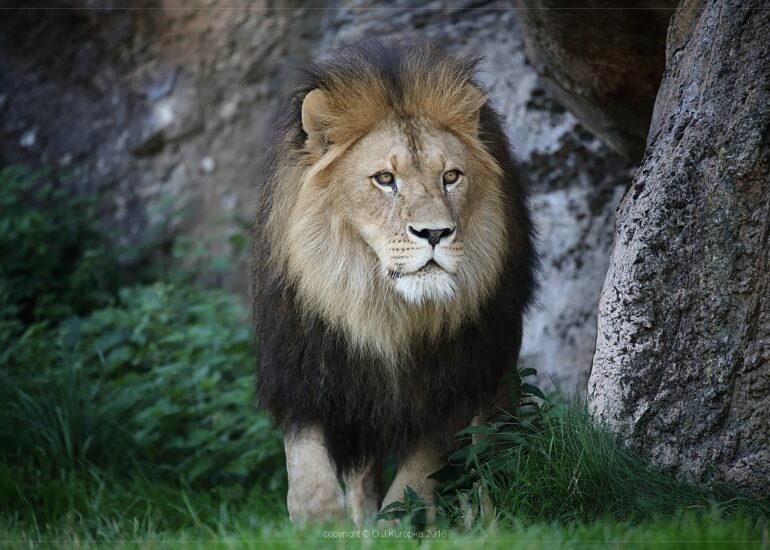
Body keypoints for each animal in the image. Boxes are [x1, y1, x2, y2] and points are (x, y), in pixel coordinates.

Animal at [251, 40, 536, 527]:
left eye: (451, 176)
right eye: (385, 179)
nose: (436, 233)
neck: (383, 310)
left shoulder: (453, 387)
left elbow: (408, 491)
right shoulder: (305, 374)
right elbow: (310, 481)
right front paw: (318, 528)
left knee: (482, 464)